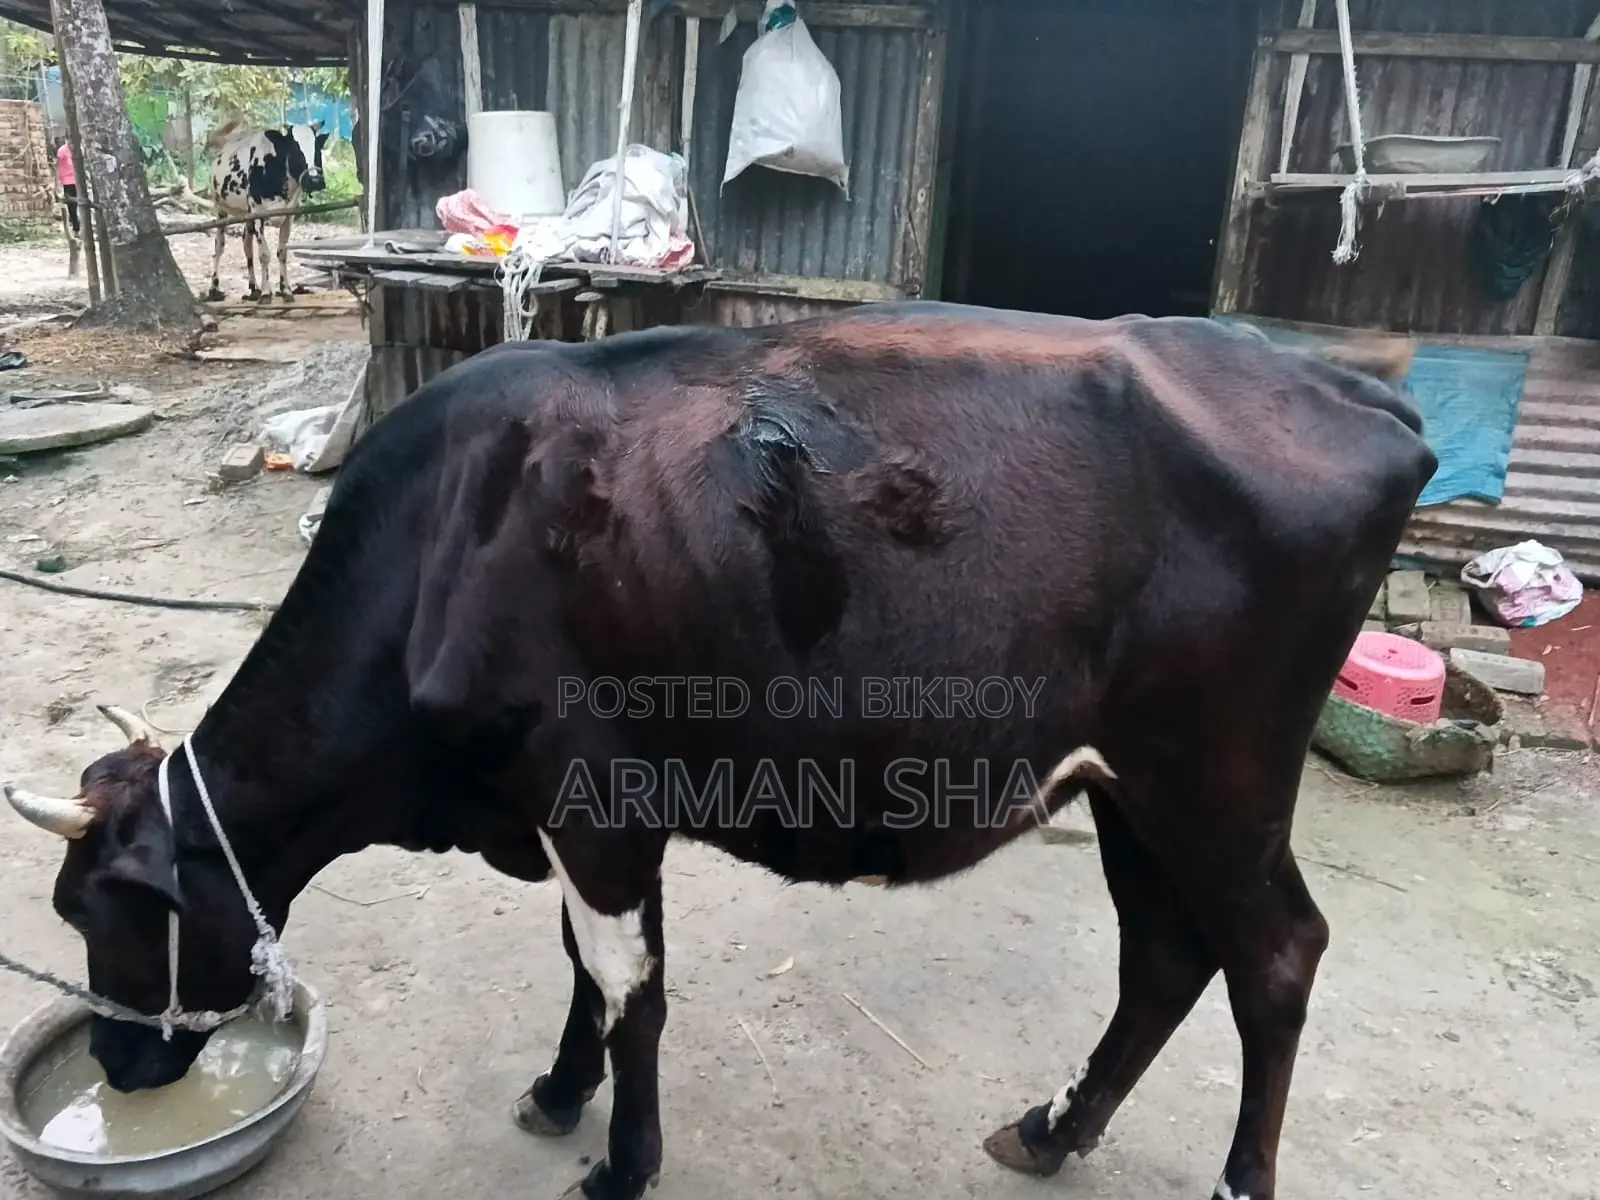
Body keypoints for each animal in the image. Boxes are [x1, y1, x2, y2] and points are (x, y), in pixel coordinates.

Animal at [6, 304, 1433, 1200]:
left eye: (98, 909)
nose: (121, 1066)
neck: (445, 541)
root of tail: (1348, 386)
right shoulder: (564, 811)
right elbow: (583, 969)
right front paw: (558, 1090)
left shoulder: (593, 801)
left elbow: (630, 988)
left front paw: (621, 1162)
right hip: (1132, 785)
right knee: (1166, 957)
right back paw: (1050, 1128)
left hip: (1220, 775)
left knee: (1274, 956)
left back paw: (1235, 1181)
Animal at [205, 118, 328, 303]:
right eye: (294, 149)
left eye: (317, 149)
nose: (314, 180)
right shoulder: (258, 214)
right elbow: (264, 254)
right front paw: (266, 293)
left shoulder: (288, 215)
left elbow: (282, 252)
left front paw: (286, 290)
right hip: (220, 209)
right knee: (219, 246)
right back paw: (214, 288)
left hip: (246, 215)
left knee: (246, 244)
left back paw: (253, 288)